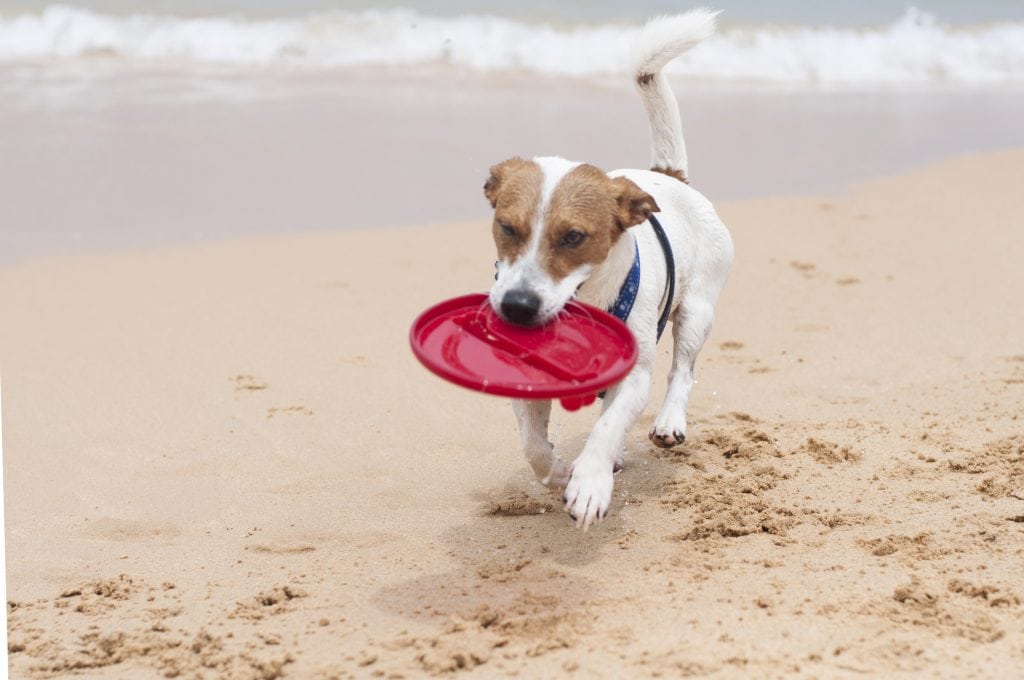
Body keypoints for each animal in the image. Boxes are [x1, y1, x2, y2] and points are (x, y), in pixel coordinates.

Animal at [483, 11, 733, 532]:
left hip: (697, 311)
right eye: (506, 227)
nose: (517, 308)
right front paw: (561, 473)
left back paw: (668, 422)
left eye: (574, 237)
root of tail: (668, 175)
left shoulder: (634, 373)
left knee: (681, 371)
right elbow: (533, 447)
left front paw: (590, 482)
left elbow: (609, 426)